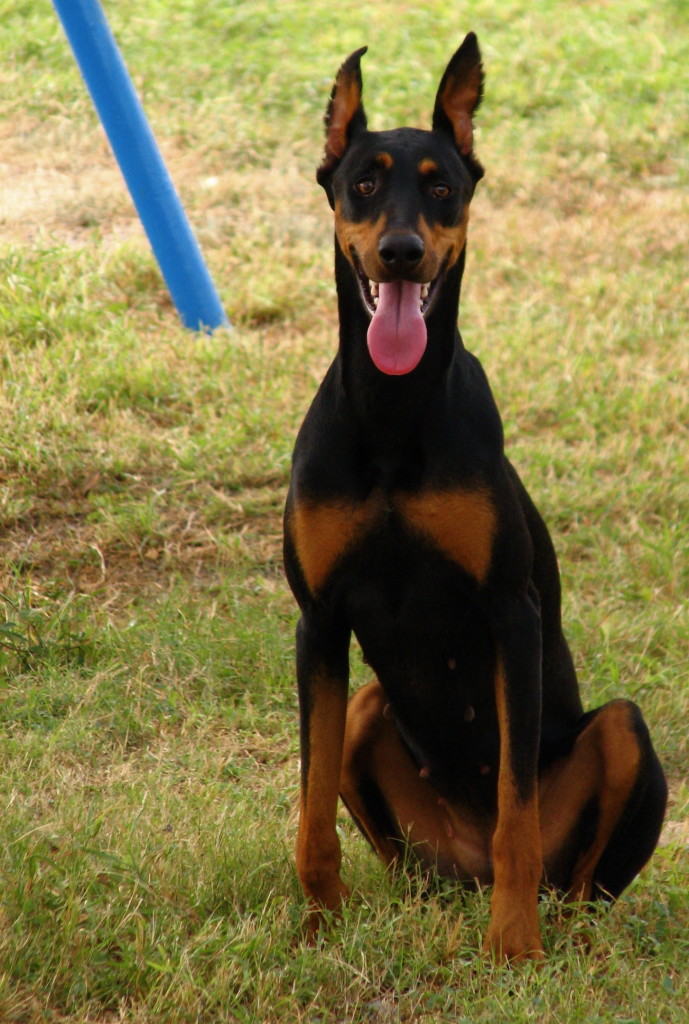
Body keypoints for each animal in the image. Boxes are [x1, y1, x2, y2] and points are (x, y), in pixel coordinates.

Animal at [282, 32, 663, 958]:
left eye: (442, 187)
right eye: (364, 183)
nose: (401, 252)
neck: (392, 416)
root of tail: (462, 866)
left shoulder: (508, 613)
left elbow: (516, 813)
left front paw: (513, 948)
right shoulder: (319, 622)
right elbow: (310, 812)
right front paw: (316, 931)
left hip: (622, 733)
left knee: (574, 876)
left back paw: (552, 930)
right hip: (369, 718)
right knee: (403, 854)